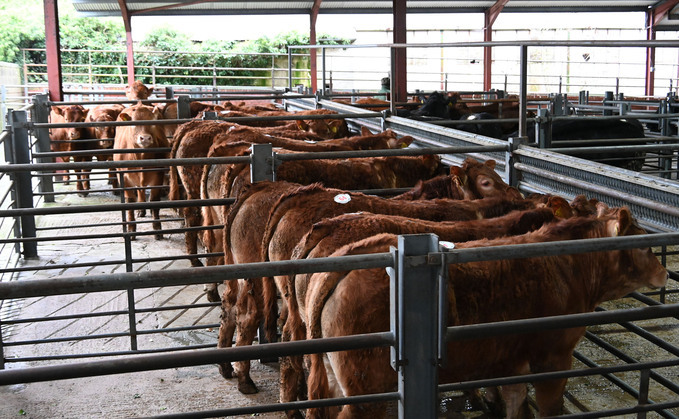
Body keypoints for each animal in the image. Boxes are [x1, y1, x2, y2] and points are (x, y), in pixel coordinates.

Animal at [113, 104, 170, 239]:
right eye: (133, 122)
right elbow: (130, 202)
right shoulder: (125, 177)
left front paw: (157, 228)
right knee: (139, 189)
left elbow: (154, 200)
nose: (145, 138)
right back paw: (140, 210)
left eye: (153, 122)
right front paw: (131, 228)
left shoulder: (158, 175)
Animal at [303, 208, 667, 418]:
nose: (665, 273)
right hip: (366, 390)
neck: (568, 265)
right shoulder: (553, 357)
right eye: (646, 245)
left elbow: (515, 402)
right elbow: (549, 407)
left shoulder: (510, 361)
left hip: (335, 378)